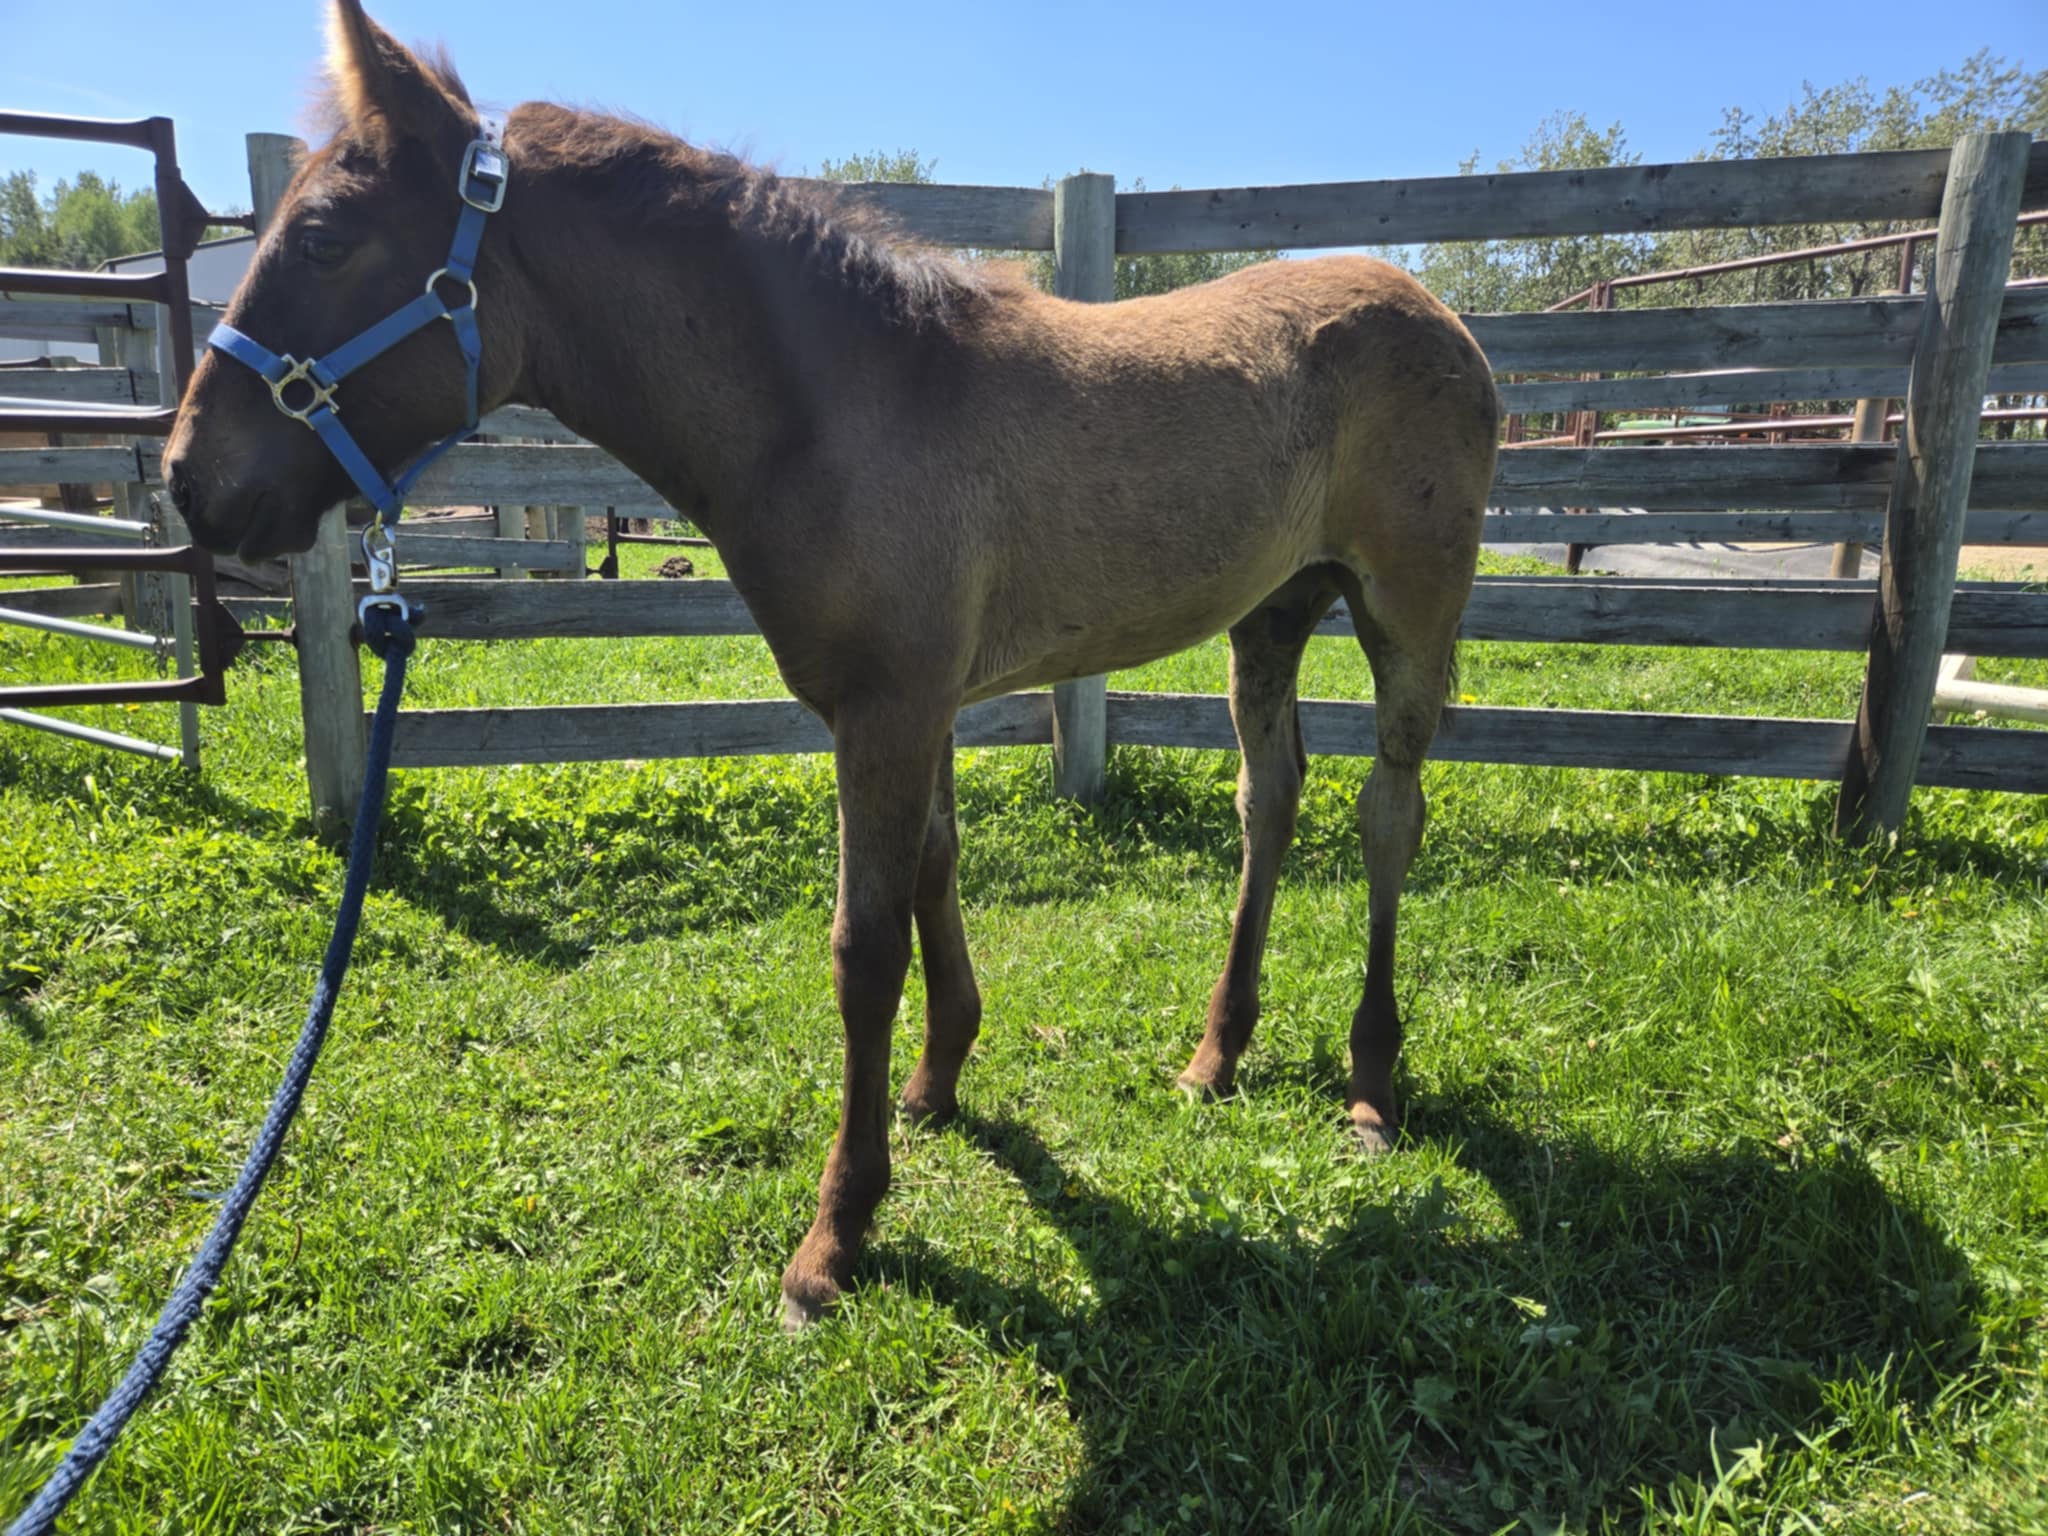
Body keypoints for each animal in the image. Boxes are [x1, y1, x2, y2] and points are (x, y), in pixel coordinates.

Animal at [164, 0, 1501, 1327]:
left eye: (325, 237)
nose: (188, 478)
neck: (847, 405)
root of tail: (1435, 313)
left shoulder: (888, 711)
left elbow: (865, 947)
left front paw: (838, 1229)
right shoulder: (919, 707)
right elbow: (931, 875)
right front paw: (939, 1079)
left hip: (1406, 612)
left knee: (1389, 812)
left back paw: (1371, 1084)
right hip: (1270, 614)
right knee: (1266, 801)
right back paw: (1217, 1055)